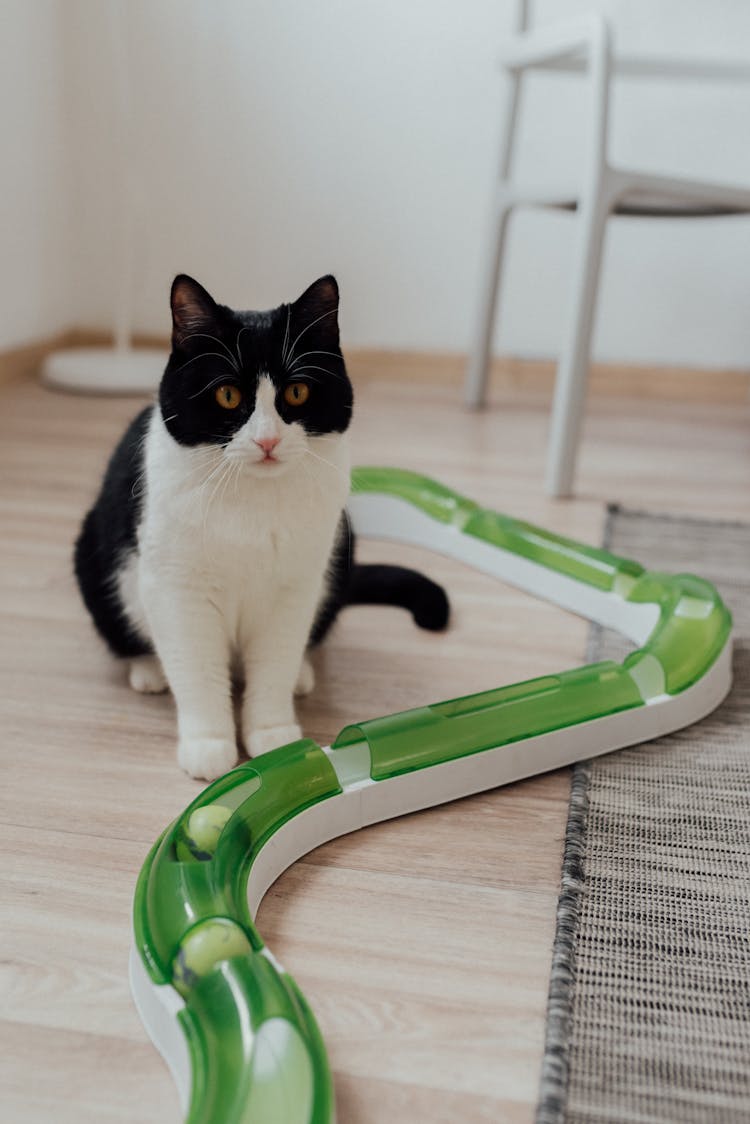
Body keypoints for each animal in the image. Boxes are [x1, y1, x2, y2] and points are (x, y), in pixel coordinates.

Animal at [75, 276, 449, 777]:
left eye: (297, 393)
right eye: (228, 395)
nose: (267, 440)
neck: (251, 499)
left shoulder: (295, 587)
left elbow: (275, 660)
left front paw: (273, 736)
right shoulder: (178, 589)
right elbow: (195, 667)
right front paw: (209, 745)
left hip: (343, 546)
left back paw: (303, 674)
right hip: (93, 555)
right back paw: (149, 669)